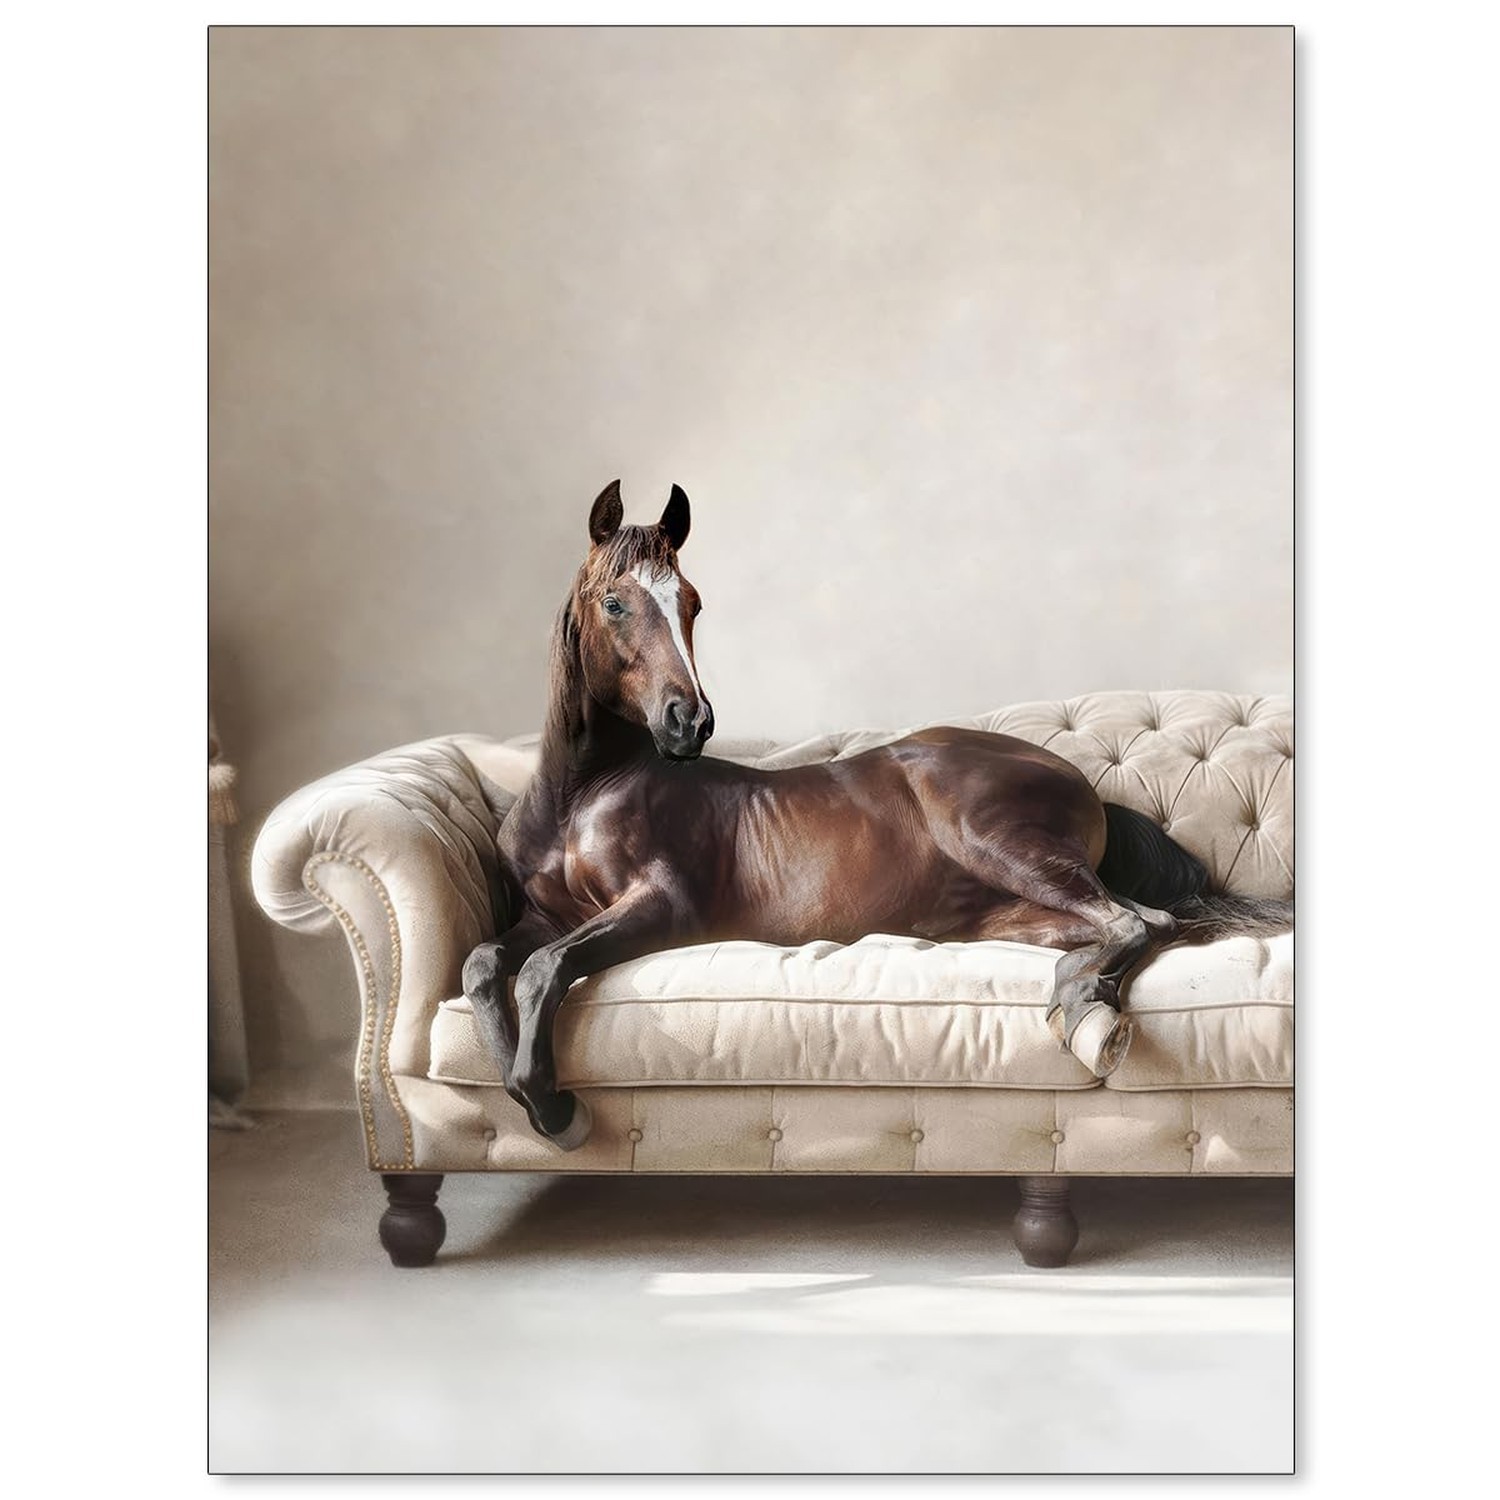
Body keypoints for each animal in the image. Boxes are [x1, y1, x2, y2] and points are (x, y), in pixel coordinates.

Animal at [464, 480, 1243, 1150]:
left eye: (691, 602)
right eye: (615, 603)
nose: (690, 722)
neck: (579, 798)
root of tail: (1075, 777)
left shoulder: (664, 905)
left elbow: (541, 969)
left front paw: (553, 1109)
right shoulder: (547, 915)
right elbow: (484, 963)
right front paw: (519, 1086)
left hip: (999, 846)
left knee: (1139, 922)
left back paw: (1086, 1013)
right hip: (1008, 916)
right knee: (1115, 930)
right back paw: (1081, 1002)